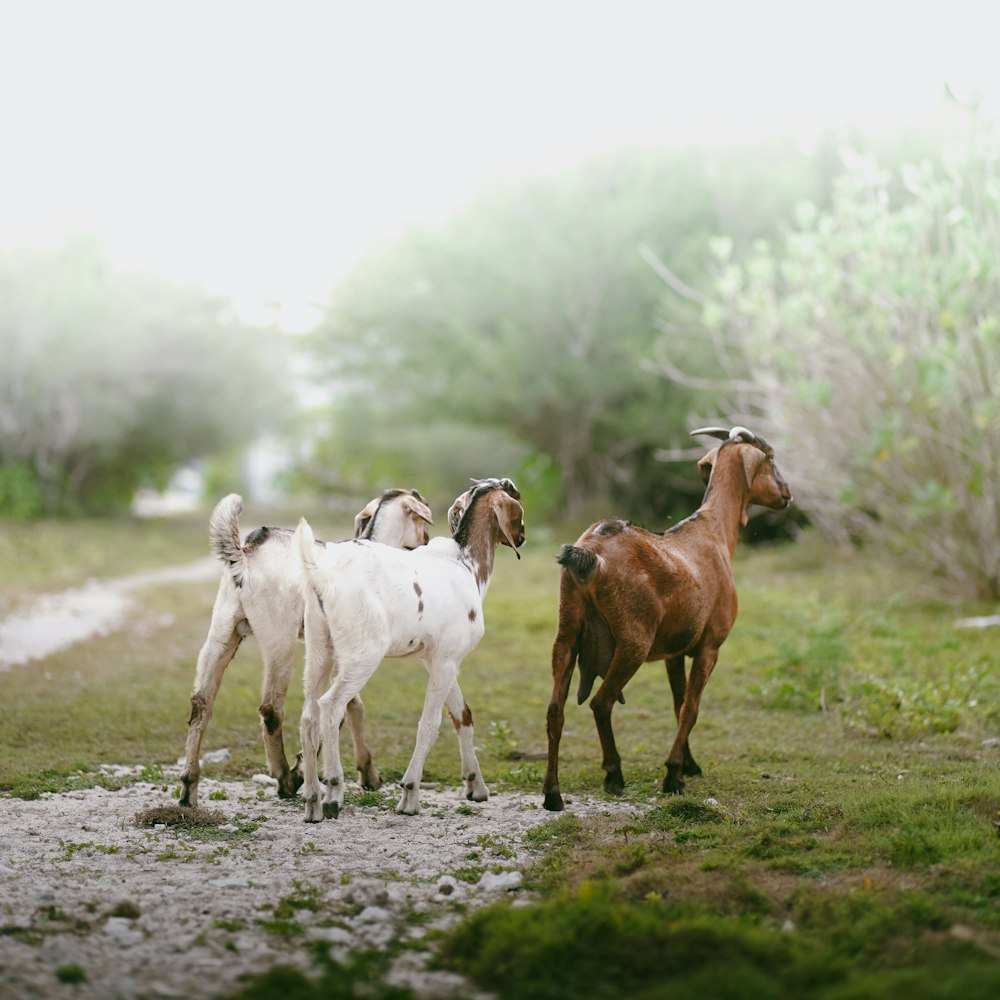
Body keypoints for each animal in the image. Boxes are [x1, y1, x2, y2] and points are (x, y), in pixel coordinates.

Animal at [178, 488, 432, 808]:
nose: (426, 544)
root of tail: (245, 553)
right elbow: (336, 708)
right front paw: (306, 770)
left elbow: (352, 705)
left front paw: (367, 773)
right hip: (280, 638)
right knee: (271, 708)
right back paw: (285, 778)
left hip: (222, 631)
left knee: (201, 703)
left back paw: (189, 788)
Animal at [294, 478, 524, 820]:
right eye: (515, 495)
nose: (521, 537)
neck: (465, 565)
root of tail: (320, 573)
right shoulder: (444, 662)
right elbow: (429, 724)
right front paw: (410, 794)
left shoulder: (441, 659)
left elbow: (462, 715)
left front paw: (476, 786)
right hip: (363, 655)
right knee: (331, 707)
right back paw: (333, 790)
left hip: (320, 650)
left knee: (309, 717)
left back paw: (312, 801)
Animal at [544, 426, 792, 808]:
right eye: (771, 459)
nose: (787, 494)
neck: (714, 532)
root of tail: (588, 554)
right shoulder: (710, 645)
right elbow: (691, 707)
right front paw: (674, 774)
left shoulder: (675, 651)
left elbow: (678, 703)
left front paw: (689, 764)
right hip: (634, 640)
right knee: (602, 702)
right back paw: (614, 775)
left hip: (567, 633)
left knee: (555, 710)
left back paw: (552, 793)